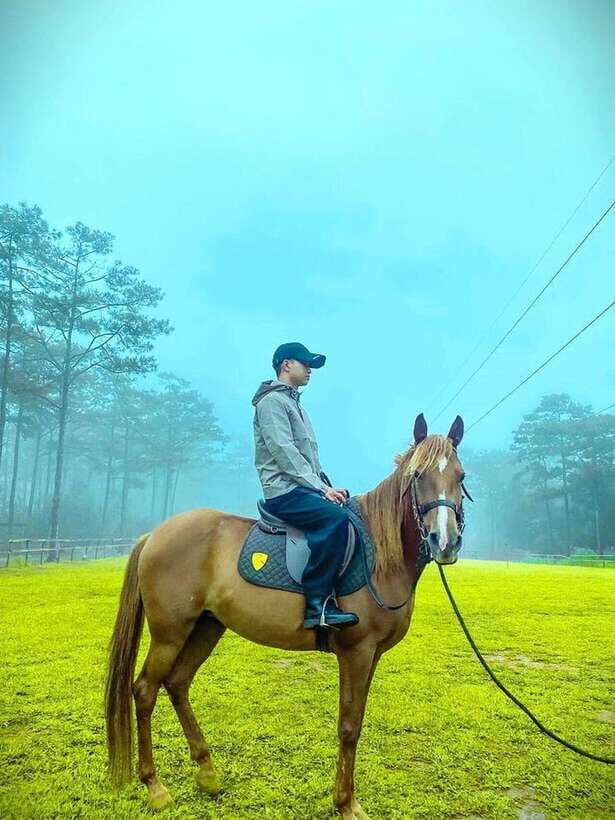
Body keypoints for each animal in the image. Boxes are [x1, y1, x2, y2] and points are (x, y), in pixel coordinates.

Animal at [105, 413, 467, 819]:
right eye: (417, 475)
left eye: (461, 476)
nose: (445, 541)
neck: (379, 555)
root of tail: (153, 535)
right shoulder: (356, 652)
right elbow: (348, 727)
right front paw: (345, 803)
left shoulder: (372, 655)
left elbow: (357, 721)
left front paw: (347, 799)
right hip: (170, 633)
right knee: (144, 691)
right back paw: (154, 786)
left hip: (205, 628)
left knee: (178, 684)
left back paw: (207, 773)